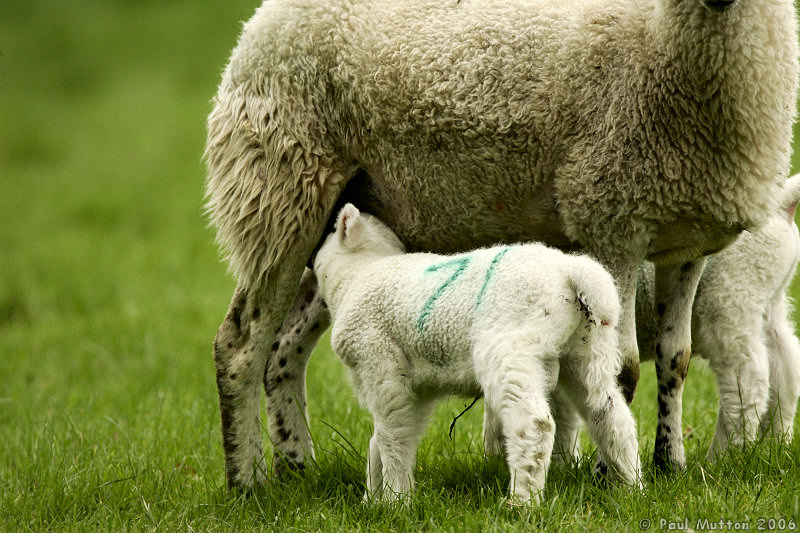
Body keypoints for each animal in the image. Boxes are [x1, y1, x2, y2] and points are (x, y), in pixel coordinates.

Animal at [310, 203, 640, 502]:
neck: (355, 278)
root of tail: (572, 272)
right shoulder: (417, 387)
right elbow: (382, 439)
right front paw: (372, 501)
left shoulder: (380, 363)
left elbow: (393, 435)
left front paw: (395, 500)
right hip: (586, 351)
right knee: (610, 416)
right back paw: (631, 489)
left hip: (510, 346)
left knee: (534, 424)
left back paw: (522, 503)